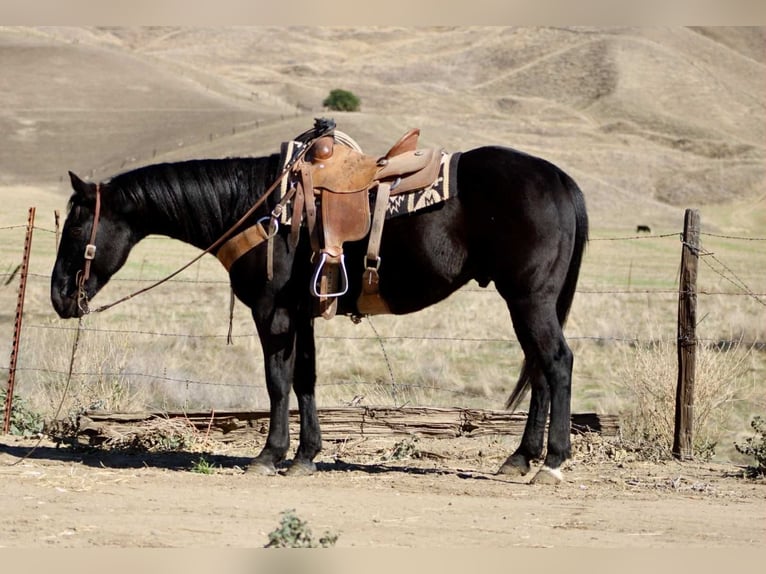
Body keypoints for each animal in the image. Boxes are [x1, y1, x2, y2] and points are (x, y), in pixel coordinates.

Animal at [51, 129, 588, 484]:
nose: (59, 297)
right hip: (529, 303)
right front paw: (306, 456)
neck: (257, 206)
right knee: (540, 370)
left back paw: (552, 463)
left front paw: (269, 455)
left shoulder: (272, 314)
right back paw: (520, 459)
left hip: (529, 299)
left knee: (557, 363)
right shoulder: (302, 314)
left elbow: (277, 380)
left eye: (75, 226)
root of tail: (561, 181)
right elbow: (305, 379)